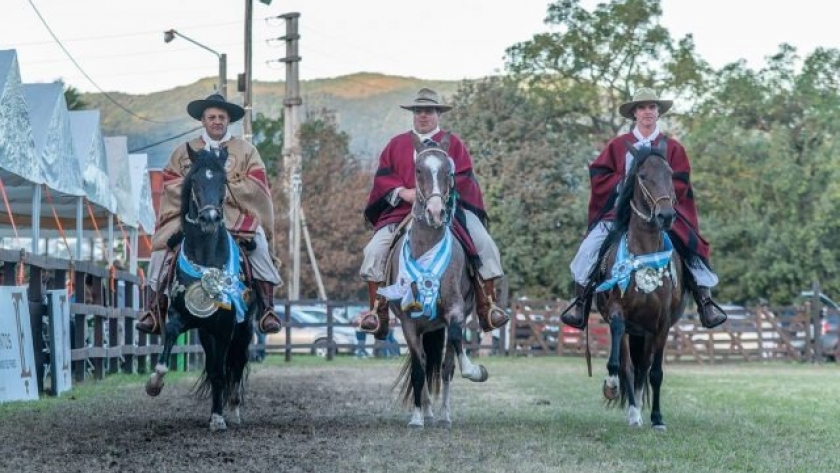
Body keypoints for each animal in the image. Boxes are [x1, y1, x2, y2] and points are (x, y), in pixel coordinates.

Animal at [144, 145, 256, 432]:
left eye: (223, 181)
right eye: (194, 180)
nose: (209, 217)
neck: (206, 258)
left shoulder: (226, 326)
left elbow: (220, 372)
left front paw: (218, 417)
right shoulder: (179, 316)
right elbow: (168, 346)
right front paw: (154, 383)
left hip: (244, 330)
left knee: (236, 365)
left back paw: (233, 408)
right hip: (206, 332)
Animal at [384, 134, 488, 428]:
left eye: (449, 172)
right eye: (418, 170)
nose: (435, 211)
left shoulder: (455, 311)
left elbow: (452, 352)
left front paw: (474, 370)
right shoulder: (408, 322)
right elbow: (419, 368)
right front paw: (417, 418)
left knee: (444, 365)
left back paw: (443, 415)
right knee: (423, 362)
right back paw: (428, 412)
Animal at [592, 138, 684, 430]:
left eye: (670, 174)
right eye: (642, 176)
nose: (665, 215)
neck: (645, 253)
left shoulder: (662, 323)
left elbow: (655, 372)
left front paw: (657, 418)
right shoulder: (618, 313)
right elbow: (623, 365)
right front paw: (613, 387)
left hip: (645, 333)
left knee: (644, 368)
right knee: (630, 366)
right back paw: (633, 410)